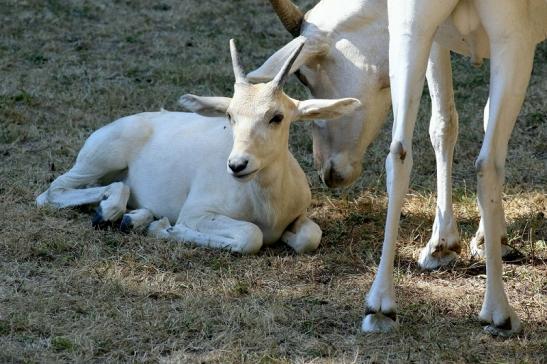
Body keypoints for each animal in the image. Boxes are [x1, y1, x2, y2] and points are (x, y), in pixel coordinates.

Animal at [38, 39, 362, 255]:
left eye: (277, 116)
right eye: (230, 115)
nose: (238, 165)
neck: (266, 203)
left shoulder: (299, 215)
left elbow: (310, 237)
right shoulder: (197, 213)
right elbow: (250, 236)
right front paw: (165, 228)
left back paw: (133, 217)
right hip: (98, 161)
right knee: (52, 192)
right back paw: (116, 213)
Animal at [250, 0, 544, 336]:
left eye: (303, 76)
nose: (327, 172)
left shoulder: (435, 40)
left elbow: (444, 124)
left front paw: (447, 244)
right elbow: (457, 124)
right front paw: (464, 243)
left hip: (413, 24)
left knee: (399, 152)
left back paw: (379, 306)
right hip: (509, 37)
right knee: (487, 161)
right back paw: (498, 314)